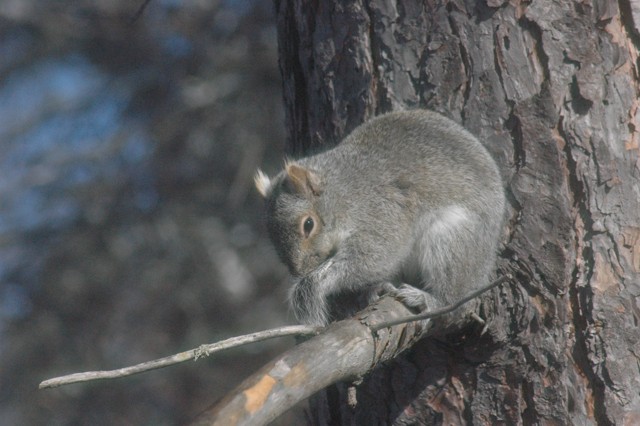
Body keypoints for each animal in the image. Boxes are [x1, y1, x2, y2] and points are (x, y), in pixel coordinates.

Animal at [255, 110, 506, 327]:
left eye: (308, 224)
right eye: (271, 235)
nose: (299, 272)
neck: (342, 194)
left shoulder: (381, 215)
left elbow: (374, 256)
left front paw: (316, 283)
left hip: (452, 238)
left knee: (454, 303)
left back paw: (429, 299)